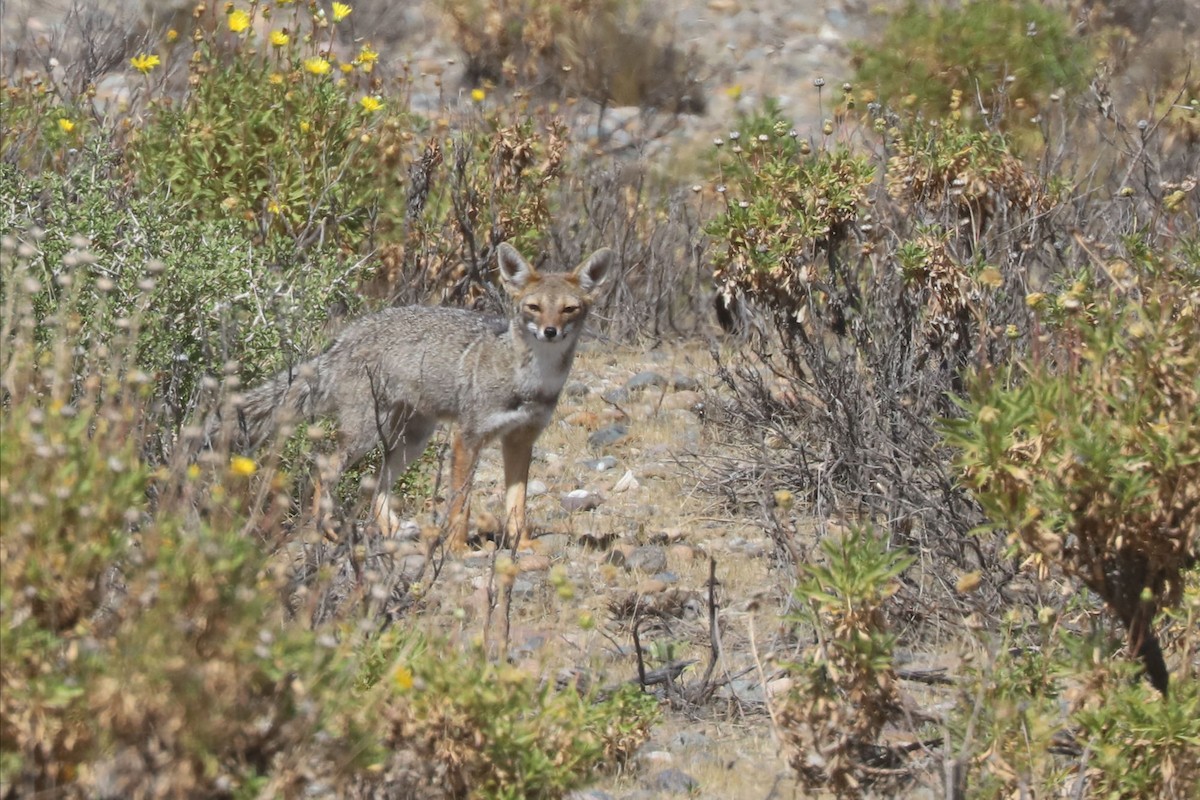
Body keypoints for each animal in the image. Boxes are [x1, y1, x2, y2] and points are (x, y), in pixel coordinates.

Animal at [216, 242, 614, 551]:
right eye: (533, 307)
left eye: (569, 309)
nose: (550, 332)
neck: (530, 379)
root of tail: (344, 338)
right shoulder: (467, 437)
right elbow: (460, 502)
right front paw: (456, 547)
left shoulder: (521, 440)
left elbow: (517, 503)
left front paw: (523, 544)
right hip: (366, 435)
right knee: (326, 468)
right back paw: (324, 529)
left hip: (412, 440)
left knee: (378, 483)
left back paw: (392, 531)